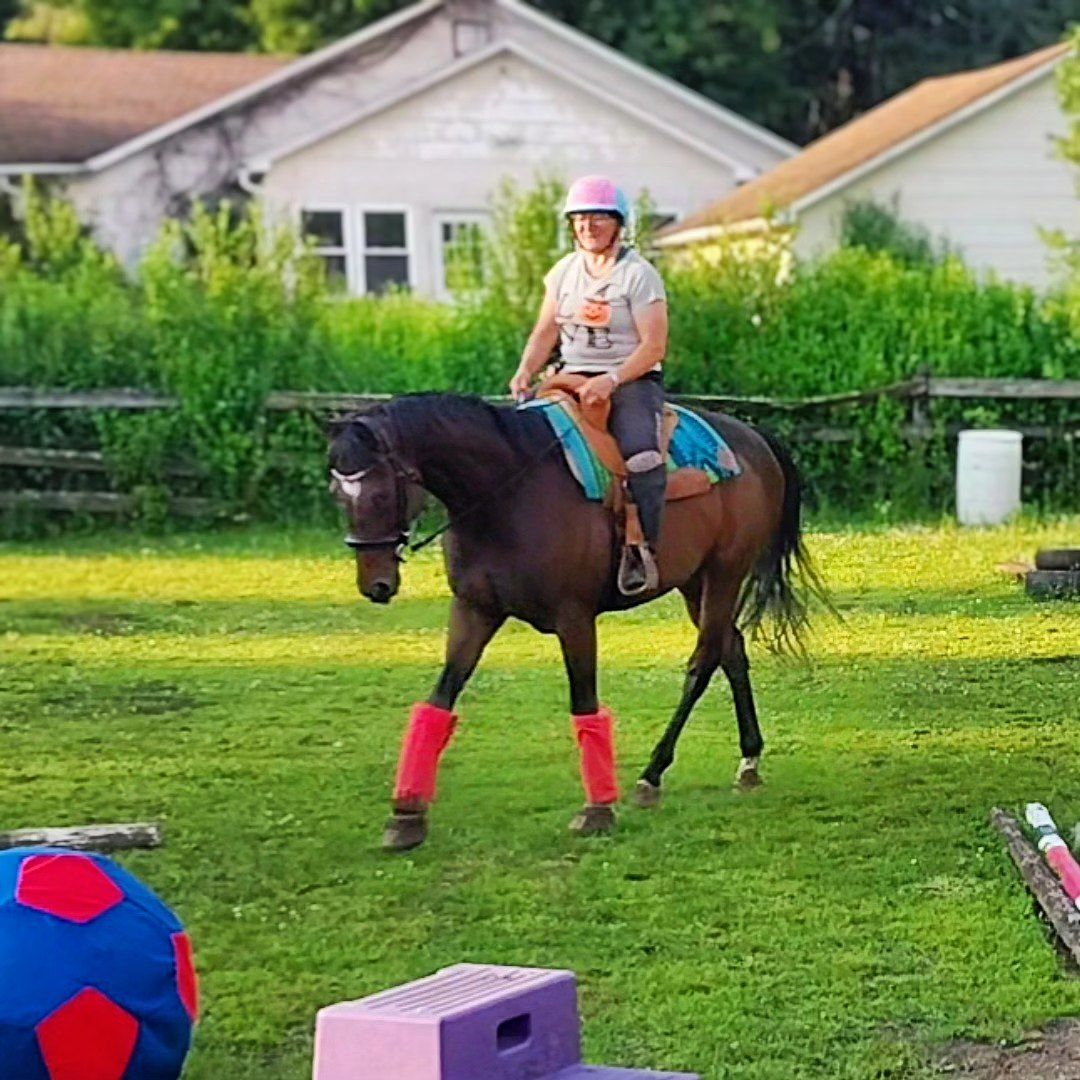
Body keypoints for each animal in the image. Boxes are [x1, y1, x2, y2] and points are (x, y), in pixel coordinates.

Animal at [328, 392, 816, 851]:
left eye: (379, 494)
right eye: (338, 494)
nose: (375, 584)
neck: (508, 494)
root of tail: (754, 439)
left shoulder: (575, 617)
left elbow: (584, 701)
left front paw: (597, 810)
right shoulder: (474, 610)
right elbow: (441, 696)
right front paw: (406, 815)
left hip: (725, 573)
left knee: (705, 661)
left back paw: (652, 773)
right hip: (695, 582)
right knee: (731, 651)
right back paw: (748, 760)